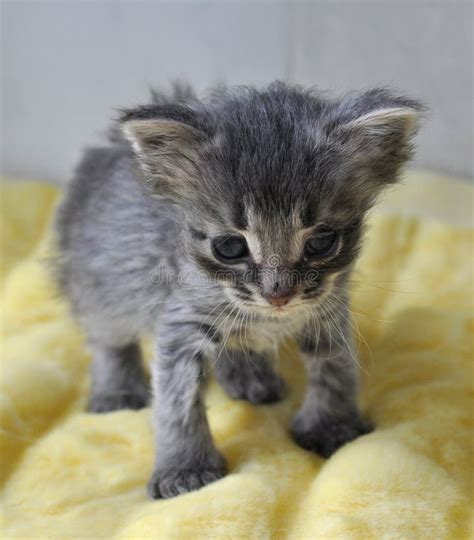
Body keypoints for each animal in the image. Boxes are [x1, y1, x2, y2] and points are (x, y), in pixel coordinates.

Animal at [55, 80, 422, 498]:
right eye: (230, 247)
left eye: (320, 243)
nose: (278, 295)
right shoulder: (181, 322)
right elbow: (177, 402)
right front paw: (185, 467)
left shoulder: (327, 310)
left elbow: (336, 367)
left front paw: (332, 425)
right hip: (103, 282)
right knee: (108, 337)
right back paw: (116, 389)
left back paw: (248, 376)